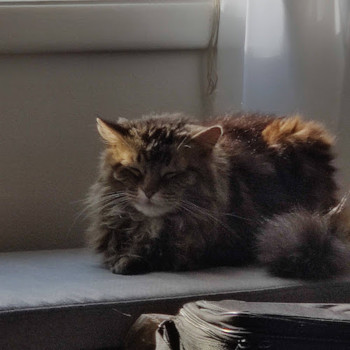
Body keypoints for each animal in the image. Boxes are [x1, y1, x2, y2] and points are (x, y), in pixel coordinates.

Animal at [86, 112, 350, 278]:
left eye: (172, 174)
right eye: (134, 170)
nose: (149, 191)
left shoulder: (218, 248)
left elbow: (169, 254)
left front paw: (131, 261)